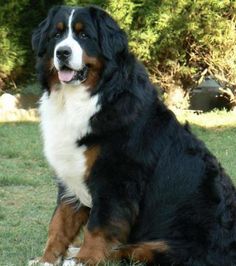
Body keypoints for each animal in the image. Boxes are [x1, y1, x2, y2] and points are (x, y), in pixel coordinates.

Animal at [29, 4, 236, 266]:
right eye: (56, 35)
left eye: (84, 35)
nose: (63, 52)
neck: (85, 98)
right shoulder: (69, 172)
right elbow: (59, 222)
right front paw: (47, 259)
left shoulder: (116, 177)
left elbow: (99, 225)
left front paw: (85, 259)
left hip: (180, 243)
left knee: (135, 250)